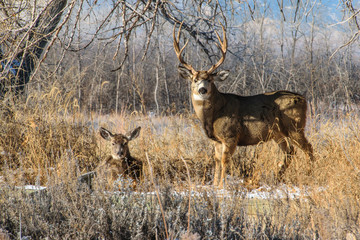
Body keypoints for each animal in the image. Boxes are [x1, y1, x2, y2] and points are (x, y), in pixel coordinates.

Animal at [173, 22, 314, 187]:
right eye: (195, 79)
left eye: (210, 80)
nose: (202, 89)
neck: (215, 114)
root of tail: (303, 99)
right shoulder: (216, 140)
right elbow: (216, 161)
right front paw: (214, 185)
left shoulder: (231, 135)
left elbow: (224, 161)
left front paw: (222, 186)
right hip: (278, 133)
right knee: (290, 151)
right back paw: (278, 178)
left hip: (295, 126)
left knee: (308, 148)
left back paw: (309, 174)